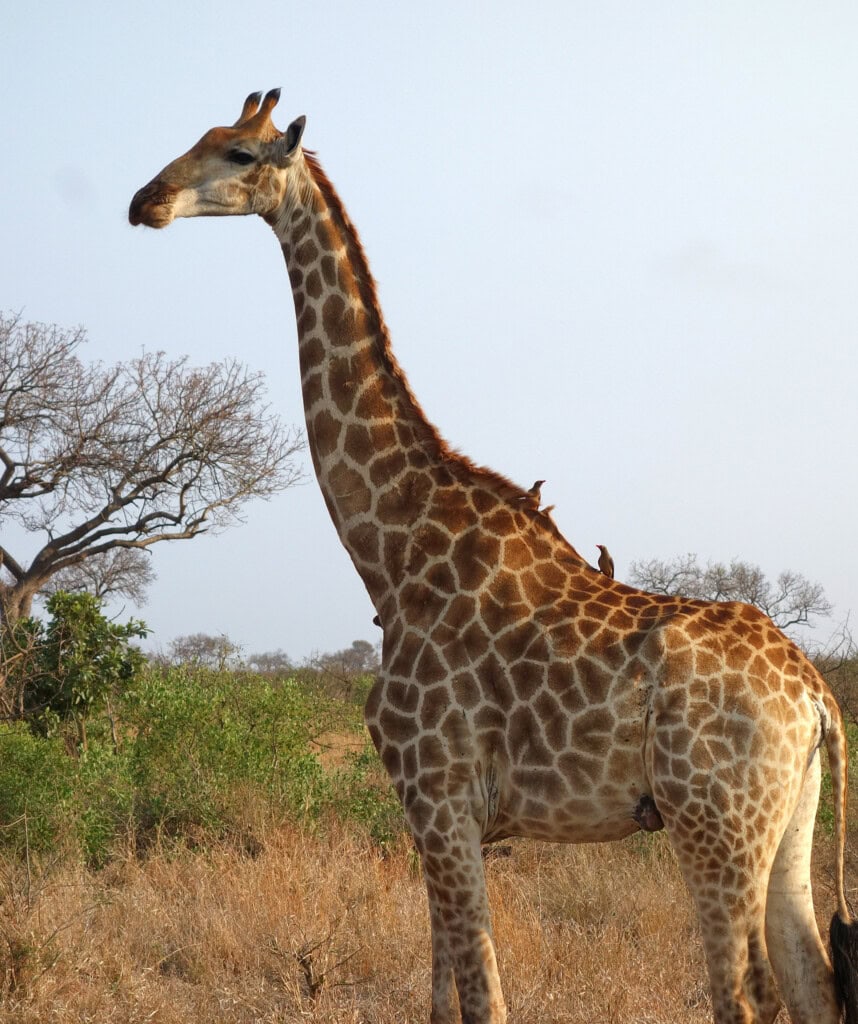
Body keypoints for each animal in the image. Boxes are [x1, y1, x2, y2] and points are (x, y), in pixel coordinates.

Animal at [129, 89, 858, 1024]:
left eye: (242, 154)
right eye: (201, 137)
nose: (145, 200)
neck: (389, 546)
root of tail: (815, 697)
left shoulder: (439, 797)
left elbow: (483, 997)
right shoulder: (434, 814)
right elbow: (445, 997)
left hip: (713, 821)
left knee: (745, 993)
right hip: (787, 821)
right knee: (813, 978)